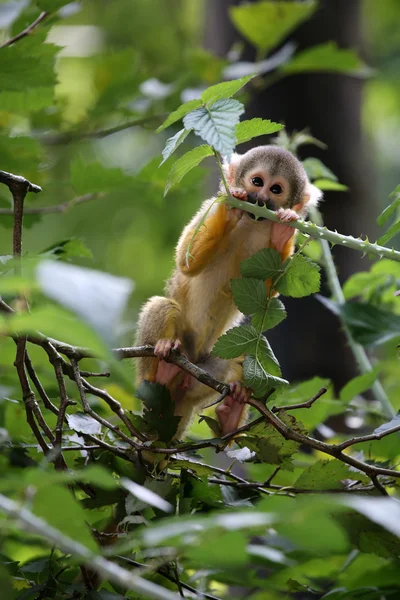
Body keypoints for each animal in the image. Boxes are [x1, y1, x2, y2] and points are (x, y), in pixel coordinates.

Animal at [136, 144, 320, 438]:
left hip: (203, 377)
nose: (259, 199)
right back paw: (161, 369)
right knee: (163, 306)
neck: (252, 223)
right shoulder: (207, 209)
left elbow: (266, 297)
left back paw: (231, 411)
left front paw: (284, 229)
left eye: (276, 189)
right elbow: (186, 262)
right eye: (257, 182)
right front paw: (233, 203)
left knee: (250, 354)